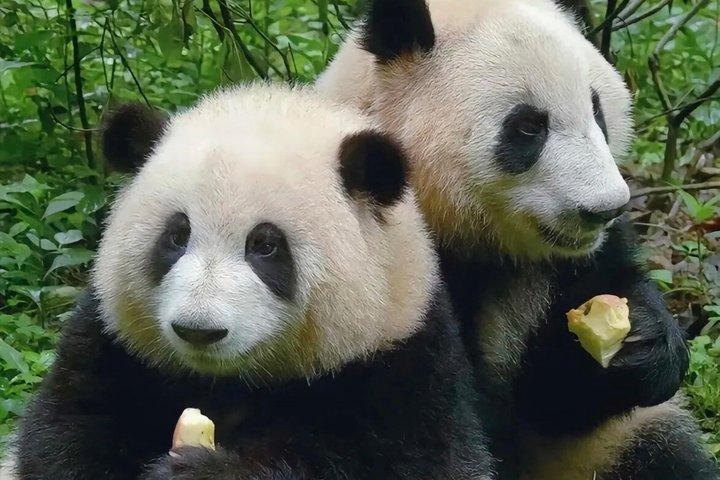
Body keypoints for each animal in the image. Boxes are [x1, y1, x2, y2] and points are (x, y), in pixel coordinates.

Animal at [12, 85, 495, 480]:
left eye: (264, 245)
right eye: (177, 236)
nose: (198, 330)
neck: (228, 381)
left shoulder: (402, 363)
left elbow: (391, 461)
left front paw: (200, 471)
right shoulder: (112, 343)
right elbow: (63, 432)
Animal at [317, 1, 719, 479]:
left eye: (597, 110)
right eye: (528, 127)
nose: (604, 209)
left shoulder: (573, 262)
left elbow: (553, 395)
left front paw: (643, 339)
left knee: (663, 451)